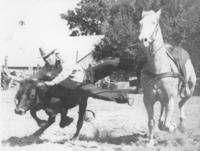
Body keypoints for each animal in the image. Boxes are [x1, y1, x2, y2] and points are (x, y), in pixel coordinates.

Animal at [138, 9, 196, 144]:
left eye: (154, 23)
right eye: (140, 23)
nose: (143, 40)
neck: (157, 69)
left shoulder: (170, 98)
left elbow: (166, 125)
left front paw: (172, 127)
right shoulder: (148, 100)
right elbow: (151, 122)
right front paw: (150, 142)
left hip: (190, 89)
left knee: (181, 103)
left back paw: (181, 125)